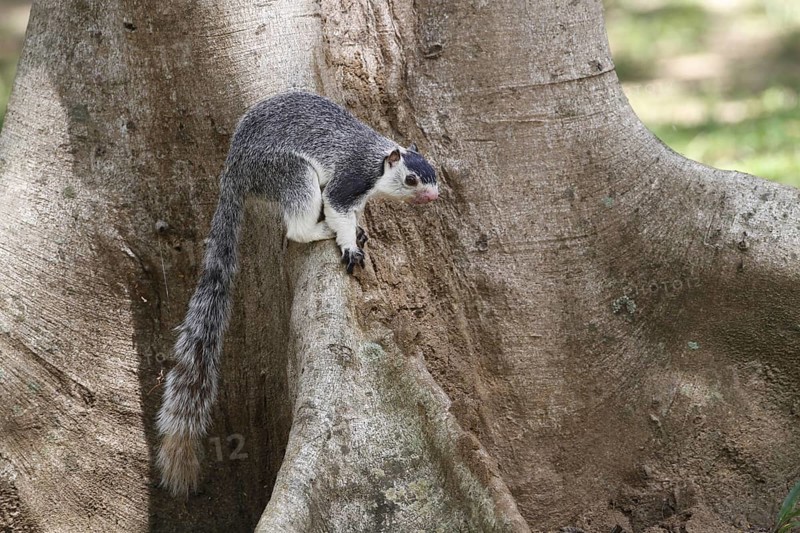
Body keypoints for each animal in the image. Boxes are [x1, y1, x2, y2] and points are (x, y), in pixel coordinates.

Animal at [155, 91, 438, 496]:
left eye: (434, 174)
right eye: (412, 179)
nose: (432, 196)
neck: (378, 158)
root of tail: (233, 170)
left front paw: (359, 230)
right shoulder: (351, 179)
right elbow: (338, 209)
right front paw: (349, 243)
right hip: (288, 172)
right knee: (297, 225)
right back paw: (317, 231)